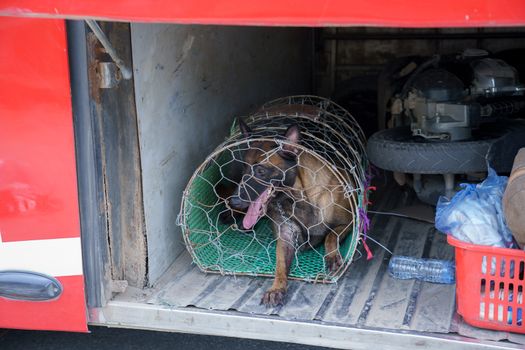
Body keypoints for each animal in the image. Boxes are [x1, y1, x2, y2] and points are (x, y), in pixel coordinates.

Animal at [225, 119, 352, 306]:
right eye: (244, 168)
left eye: (261, 171)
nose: (234, 200)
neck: (298, 199)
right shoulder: (285, 236)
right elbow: (280, 265)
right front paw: (276, 288)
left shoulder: (348, 222)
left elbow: (330, 236)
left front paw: (332, 257)